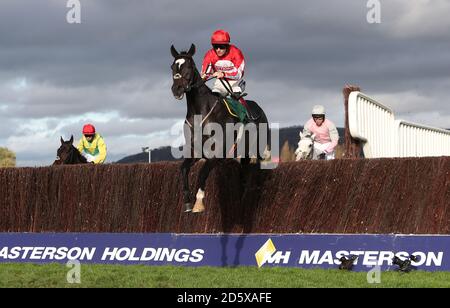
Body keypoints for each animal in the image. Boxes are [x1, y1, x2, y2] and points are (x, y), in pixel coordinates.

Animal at [171, 44, 270, 214]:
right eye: (172, 67)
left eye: (188, 67)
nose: (176, 89)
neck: (201, 112)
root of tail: (259, 109)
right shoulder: (195, 151)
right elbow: (183, 169)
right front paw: (187, 202)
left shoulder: (216, 153)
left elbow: (202, 173)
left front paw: (198, 203)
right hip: (243, 153)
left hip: (258, 148)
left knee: (256, 170)